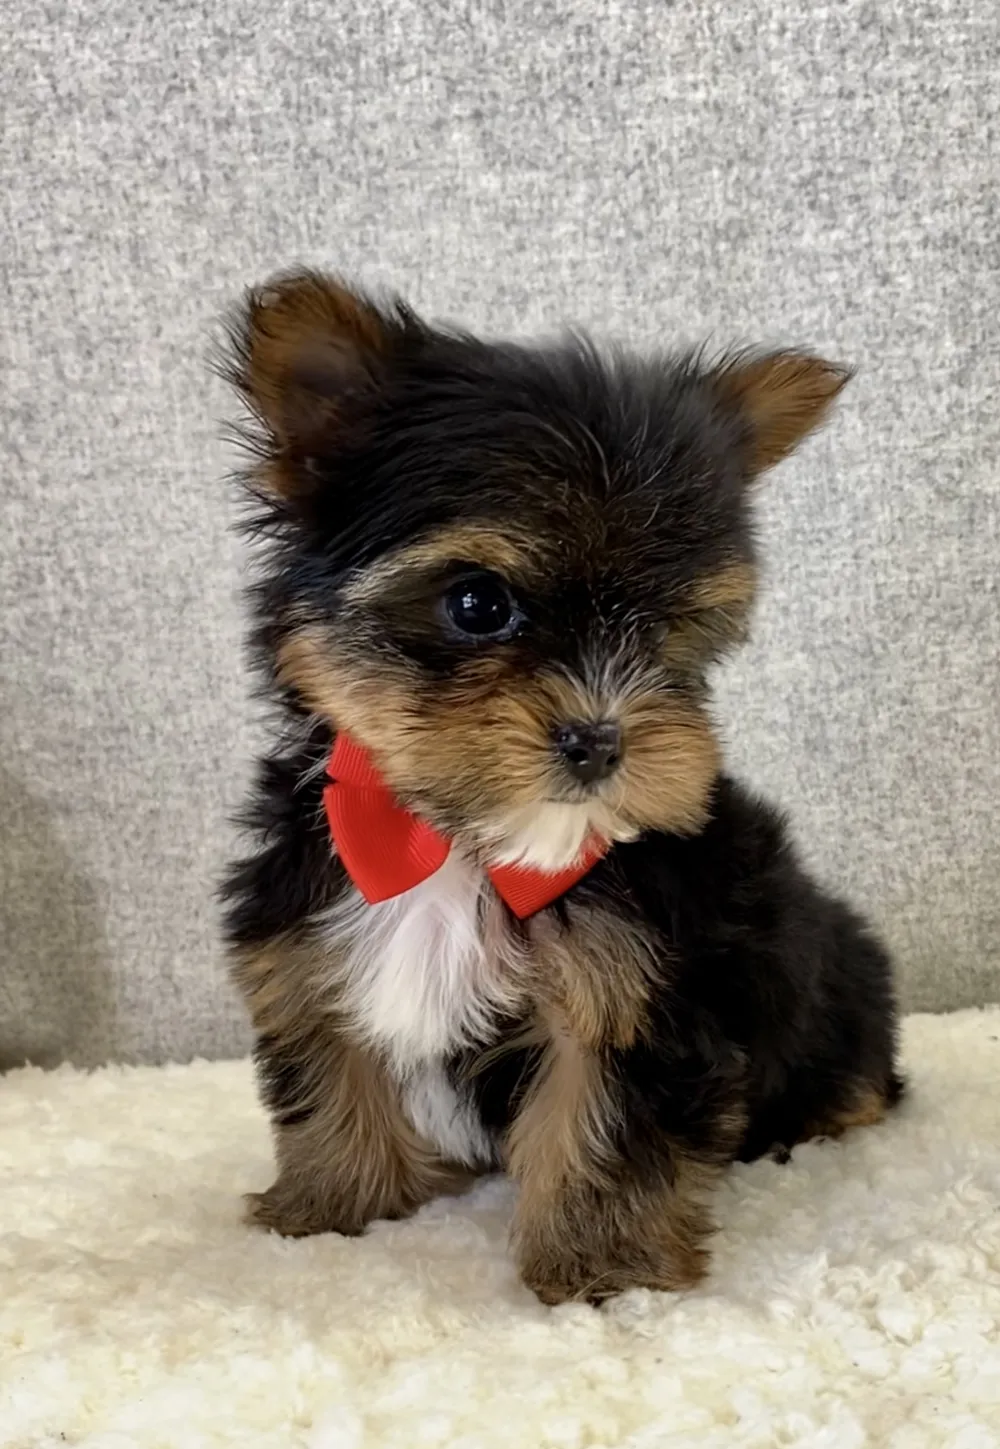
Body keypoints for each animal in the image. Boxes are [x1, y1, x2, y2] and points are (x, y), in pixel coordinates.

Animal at [220, 271, 901, 1305]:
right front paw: (332, 1205)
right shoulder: (302, 939)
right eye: (477, 603)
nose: (599, 739)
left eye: (662, 627)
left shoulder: (646, 987)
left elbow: (606, 1121)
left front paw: (599, 1269)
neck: (464, 842)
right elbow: (332, 1069)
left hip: (837, 987)